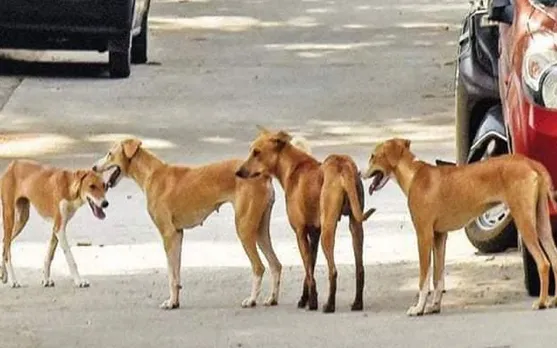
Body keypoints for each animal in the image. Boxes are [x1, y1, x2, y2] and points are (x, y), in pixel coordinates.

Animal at [0, 160, 108, 288]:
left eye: (105, 186)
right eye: (92, 186)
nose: (105, 203)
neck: (69, 188)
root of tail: (12, 164)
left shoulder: (56, 228)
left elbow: (49, 256)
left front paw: (46, 279)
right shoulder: (59, 229)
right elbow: (70, 258)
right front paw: (79, 281)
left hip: (22, 219)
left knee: (4, 244)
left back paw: (4, 274)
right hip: (9, 216)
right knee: (7, 250)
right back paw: (13, 280)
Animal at [93, 137, 282, 308]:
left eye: (110, 153)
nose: (93, 167)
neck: (152, 174)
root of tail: (264, 175)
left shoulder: (168, 235)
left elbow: (171, 274)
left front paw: (170, 303)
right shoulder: (177, 234)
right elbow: (176, 274)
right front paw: (175, 301)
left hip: (244, 228)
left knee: (259, 267)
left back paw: (251, 300)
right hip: (260, 231)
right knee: (276, 265)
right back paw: (272, 299)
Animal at [235, 127, 374, 312]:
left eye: (256, 152)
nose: (238, 172)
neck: (293, 167)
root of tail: (342, 165)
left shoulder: (300, 232)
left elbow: (308, 272)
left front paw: (312, 302)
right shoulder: (314, 234)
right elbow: (310, 269)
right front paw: (305, 299)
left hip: (328, 231)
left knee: (333, 270)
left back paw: (329, 305)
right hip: (355, 227)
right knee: (360, 269)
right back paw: (358, 303)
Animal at [360, 138, 557, 316]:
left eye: (373, 156)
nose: (360, 173)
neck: (414, 175)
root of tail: (530, 162)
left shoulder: (424, 235)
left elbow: (424, 278)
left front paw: (418, 308)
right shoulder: (439, 236)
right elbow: (438, 277)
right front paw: (434, 306)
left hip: (525, 223)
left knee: (544, 263)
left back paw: (541, 302)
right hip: (541, 224)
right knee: (554, 257)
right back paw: (553, 300)